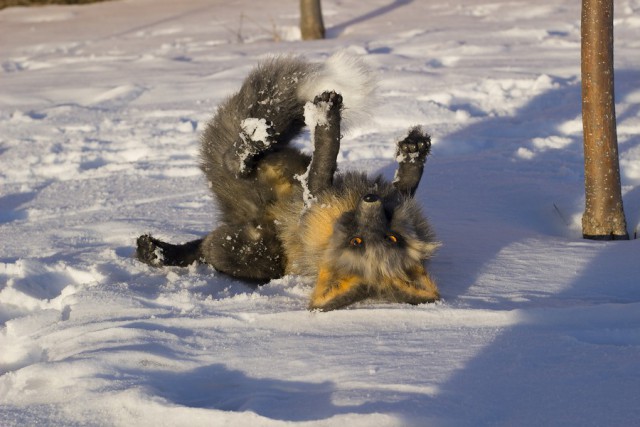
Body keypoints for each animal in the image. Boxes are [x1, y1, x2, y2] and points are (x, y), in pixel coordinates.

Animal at [136, 53, 440, 312]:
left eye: (360, 241)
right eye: (392, 237)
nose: (370, 201)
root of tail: (244, 213)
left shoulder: (314, 194)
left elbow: (326, 154)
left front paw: (327, 119)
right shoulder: (387, 197)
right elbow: (406, 185)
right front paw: (413, 152)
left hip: (254, 249)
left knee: (222, 204)